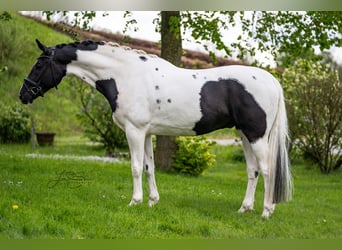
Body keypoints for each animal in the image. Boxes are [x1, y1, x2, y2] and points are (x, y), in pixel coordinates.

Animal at [18, 39, 292, 217]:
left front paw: (134, 201)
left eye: (40, 64)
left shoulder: (134, 131)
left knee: (266, 170)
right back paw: (244, 208)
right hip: (245, 135)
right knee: (252, 171)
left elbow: (136, 167)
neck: (125, 75)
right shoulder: (147, 133)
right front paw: (151, 202)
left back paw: (266, 212)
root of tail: (271, 80)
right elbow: (149, 168)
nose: (23, 94)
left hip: (257, 136)